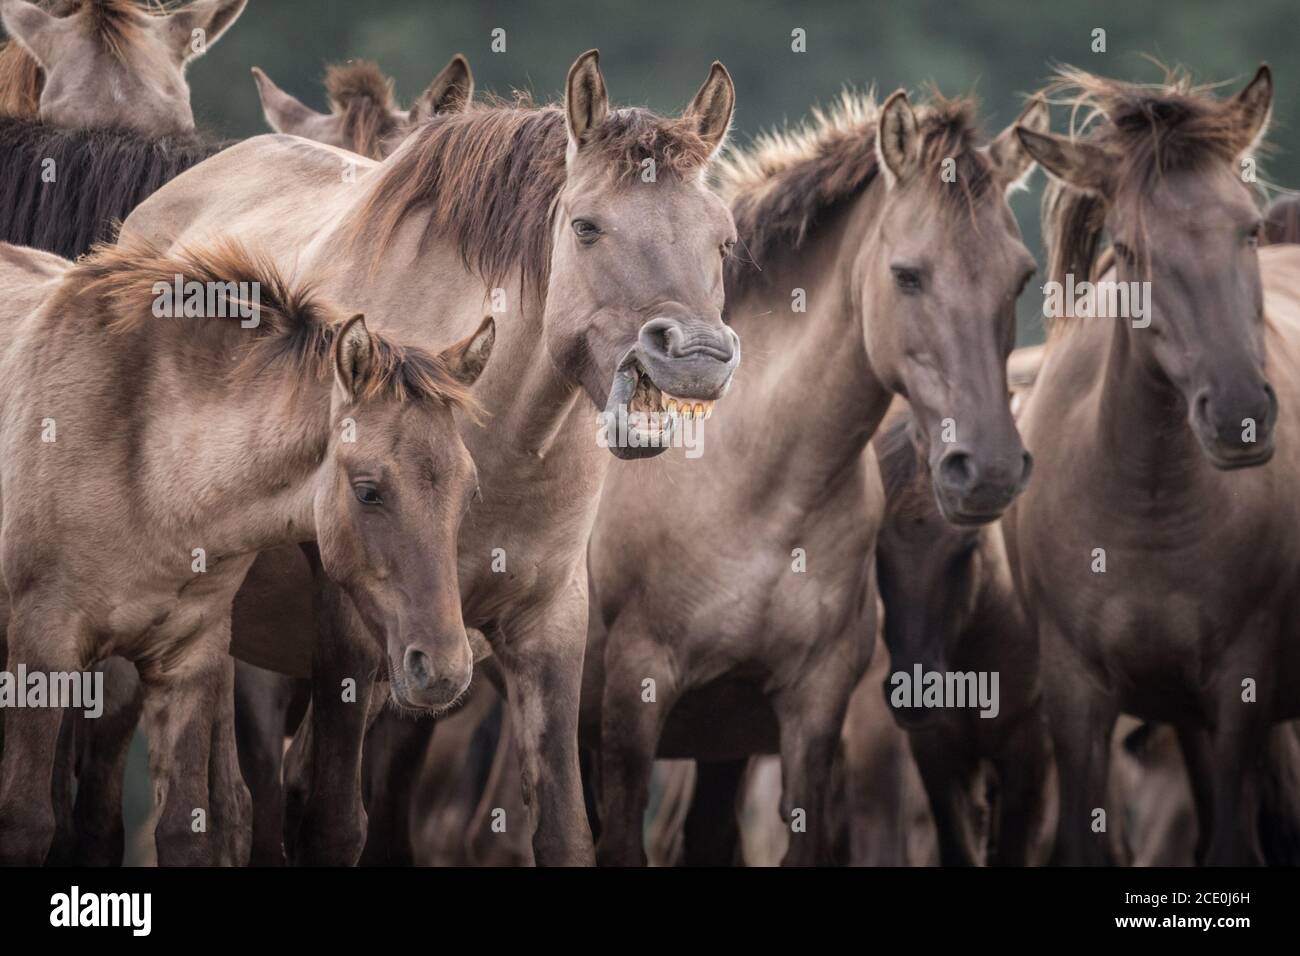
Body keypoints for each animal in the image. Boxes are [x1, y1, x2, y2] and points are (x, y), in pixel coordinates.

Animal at [0, 235, 491, 863]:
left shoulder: (189, 662)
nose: (445, 671)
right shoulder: (43, 647)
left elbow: (185, 826)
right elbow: (26, 821)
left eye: (469, 490)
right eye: (368, 491)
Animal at [1008, 63, 1300, 863]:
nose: (1239, 412)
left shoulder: (1241, 691)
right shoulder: (1076, 697)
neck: (1150, 507)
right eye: (1130, 250)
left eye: (1247, 229)